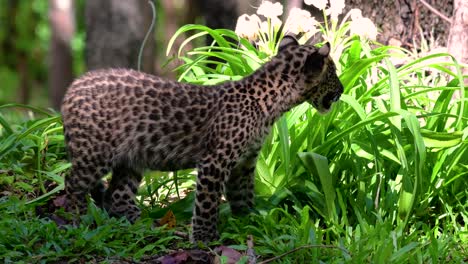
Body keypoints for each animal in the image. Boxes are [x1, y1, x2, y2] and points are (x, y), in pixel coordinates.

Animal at [60, 36, 344, 242]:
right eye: (332, 73)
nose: (342, 90)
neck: (272, 103)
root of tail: (73, 86)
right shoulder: (215, 161)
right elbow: (207, 203)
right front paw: (205, 237)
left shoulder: (245, 163)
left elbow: (243, 195)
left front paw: (249, 222)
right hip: (95, 152)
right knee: (72, 182)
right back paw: (75, 219)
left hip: (131, 158)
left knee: (117, 194)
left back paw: (136, 222)